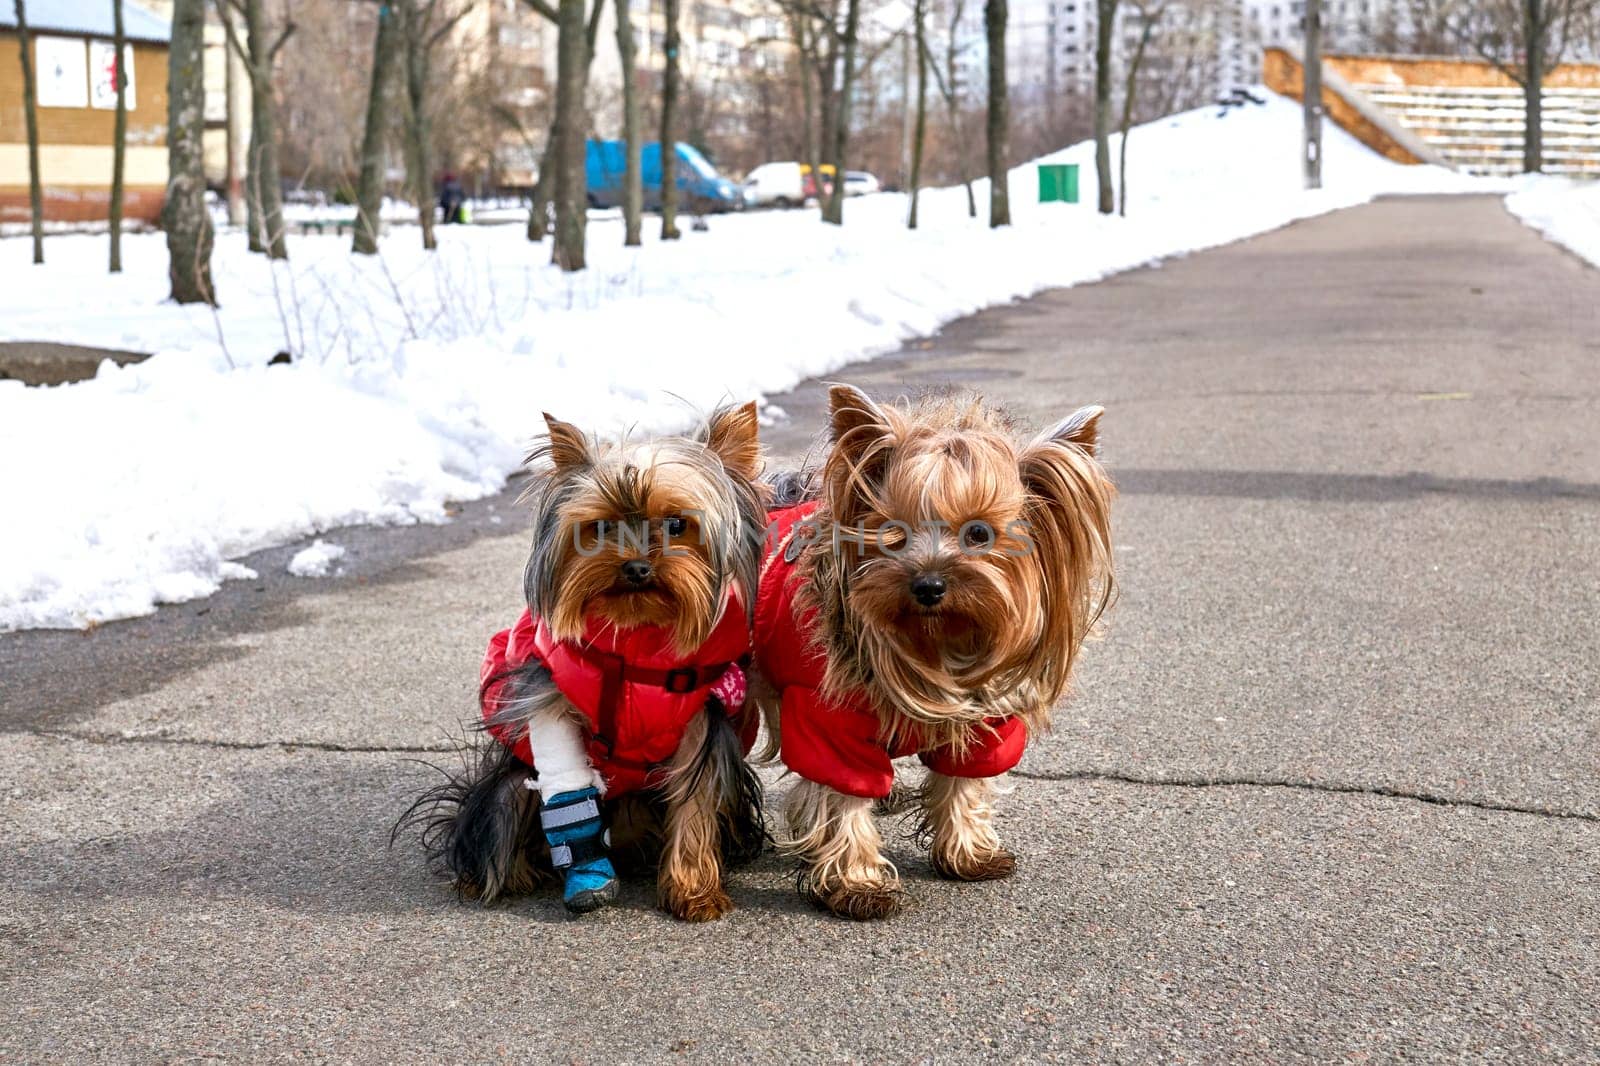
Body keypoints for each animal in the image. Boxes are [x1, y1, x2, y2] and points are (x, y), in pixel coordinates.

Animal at [403, 403, 771, 915]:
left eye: (677, 524)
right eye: (600, 527)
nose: (636, 567)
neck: (634, 640)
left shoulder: (702, 718)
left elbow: (696, 800)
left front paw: (694, 892)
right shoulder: (550, 703)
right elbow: (569, 795)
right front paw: (589, 881)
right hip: (508, 789)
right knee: (505, 815)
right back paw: (507, 874)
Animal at [752, 385, 1113, 915]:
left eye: (979, 532)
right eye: (892, 531)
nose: (927, 585)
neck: (935, 644)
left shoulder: (982, 717)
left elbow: (964, 780)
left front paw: (969, 853)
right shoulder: (827, 715)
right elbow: (842, 793)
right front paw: (858, 883)